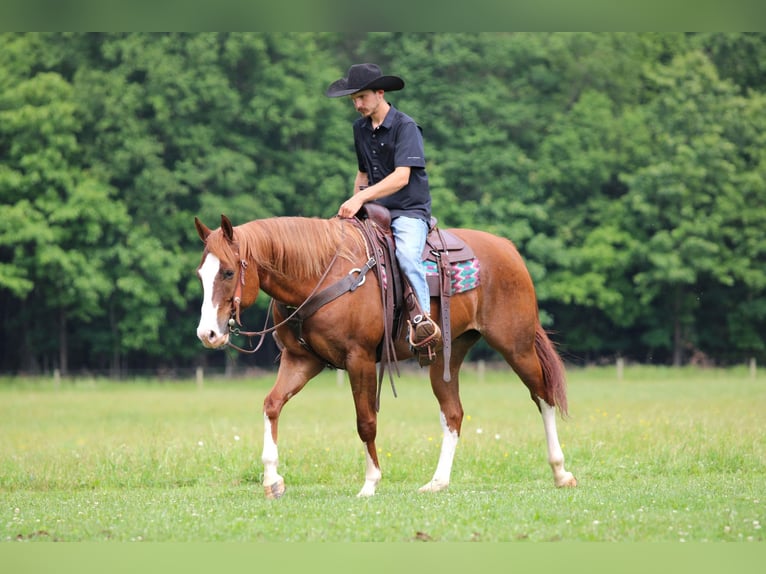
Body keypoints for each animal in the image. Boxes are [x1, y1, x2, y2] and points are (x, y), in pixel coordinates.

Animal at [194, 213, 577, 498]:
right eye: (201, 274)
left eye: (228, 271)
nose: (207, 334)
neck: (321, 275)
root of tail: (507, 248)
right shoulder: (300, 360)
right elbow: (272, 405)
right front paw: (273, 480)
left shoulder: (359, 359)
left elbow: (366, 421)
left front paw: (370, 483)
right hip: (446, 356)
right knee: (453, 414)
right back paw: (437, 482)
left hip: (516, 345)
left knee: (543, 396)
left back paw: (560, 472)